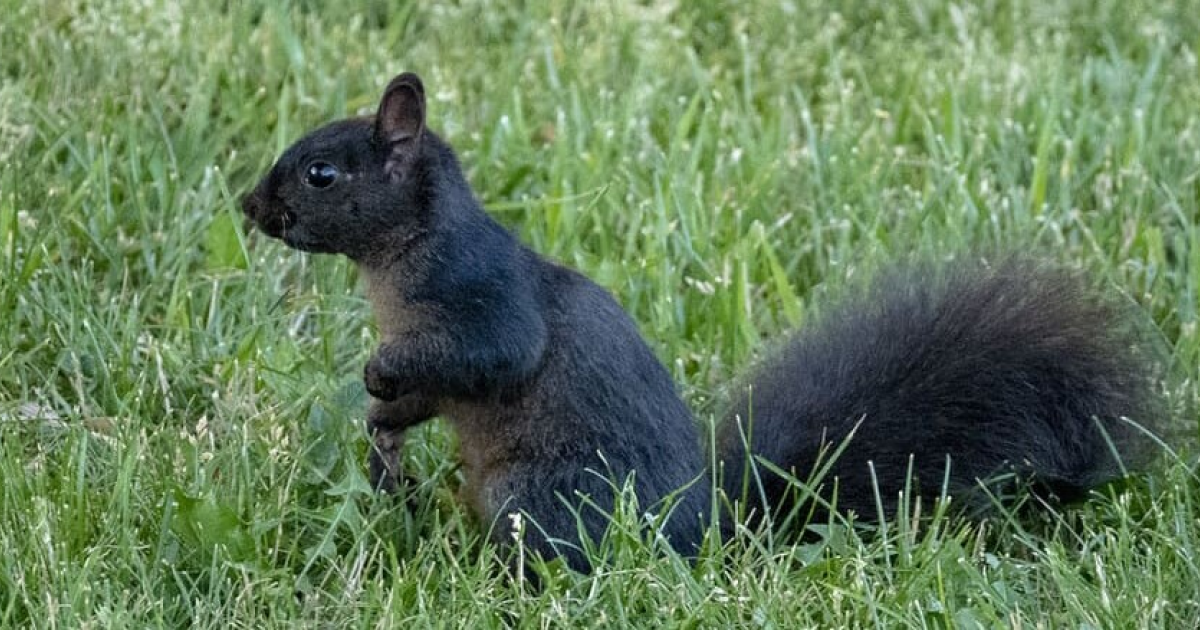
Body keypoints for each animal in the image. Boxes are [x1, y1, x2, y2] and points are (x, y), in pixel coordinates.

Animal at [241, 71, 1161, 566]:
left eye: (321, 174)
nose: (251, 207)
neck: (395, 260)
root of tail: (705, 534)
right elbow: (430, 396)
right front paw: (384, 428)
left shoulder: (477, 294)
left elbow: (494, 353)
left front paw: (379, 375)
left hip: (536, 496)